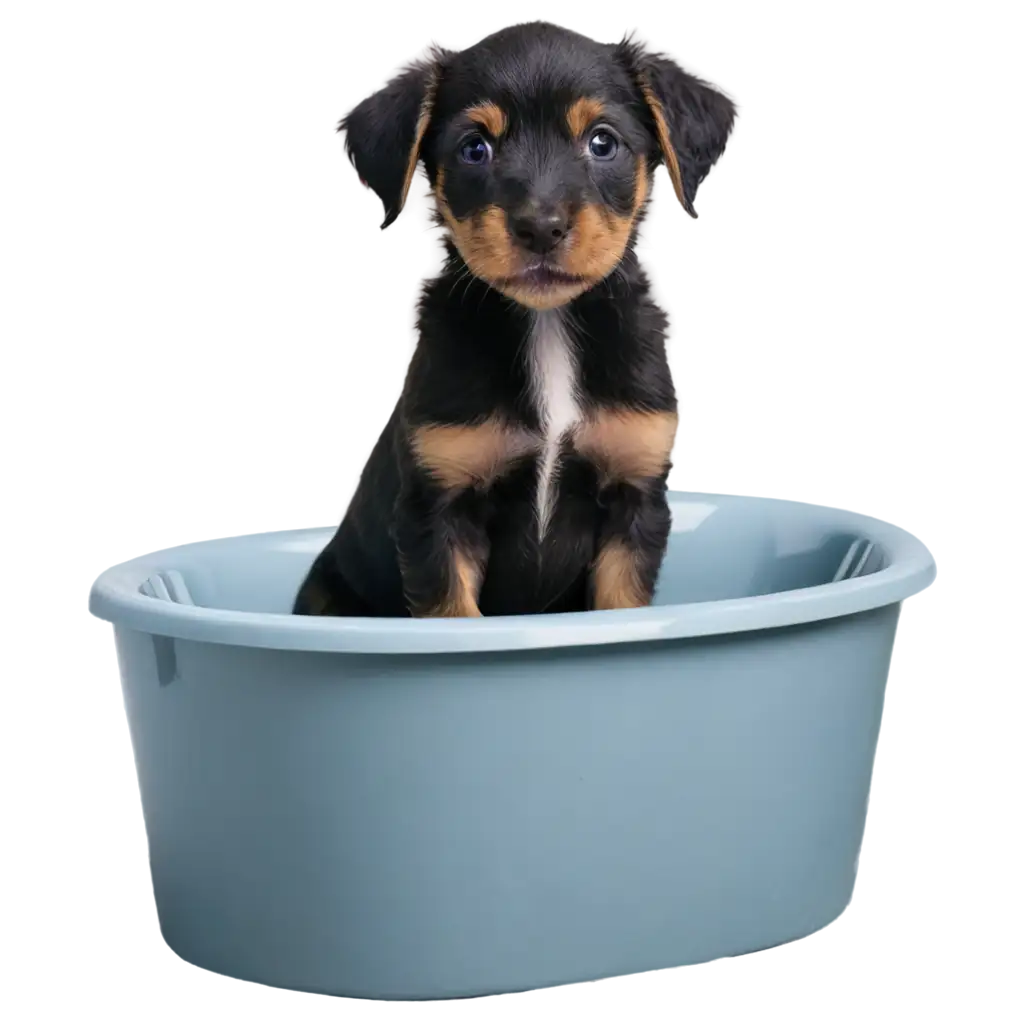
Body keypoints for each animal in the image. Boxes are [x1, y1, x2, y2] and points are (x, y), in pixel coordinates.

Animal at [292, 22, 733, 614]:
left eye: (602, 142)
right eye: (474, 148)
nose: (540, 227)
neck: (545, 325)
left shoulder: (634, 493)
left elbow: (621, 607)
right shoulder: (438, 509)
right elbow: (453, 612)